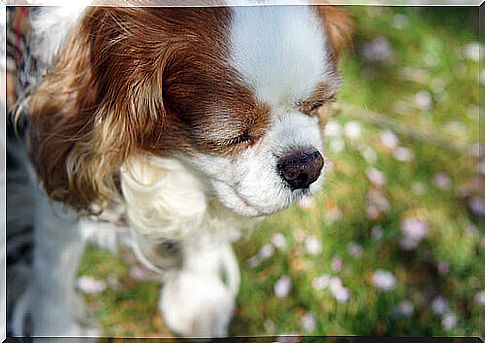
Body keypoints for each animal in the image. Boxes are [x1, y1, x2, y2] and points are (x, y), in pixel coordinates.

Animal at [9, 2, 350, 338]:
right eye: (233, 137)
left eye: (317, 105)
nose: (305, 167)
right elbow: (52, 277)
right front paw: (57, 329)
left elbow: (204, 233)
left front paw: (197, 300)